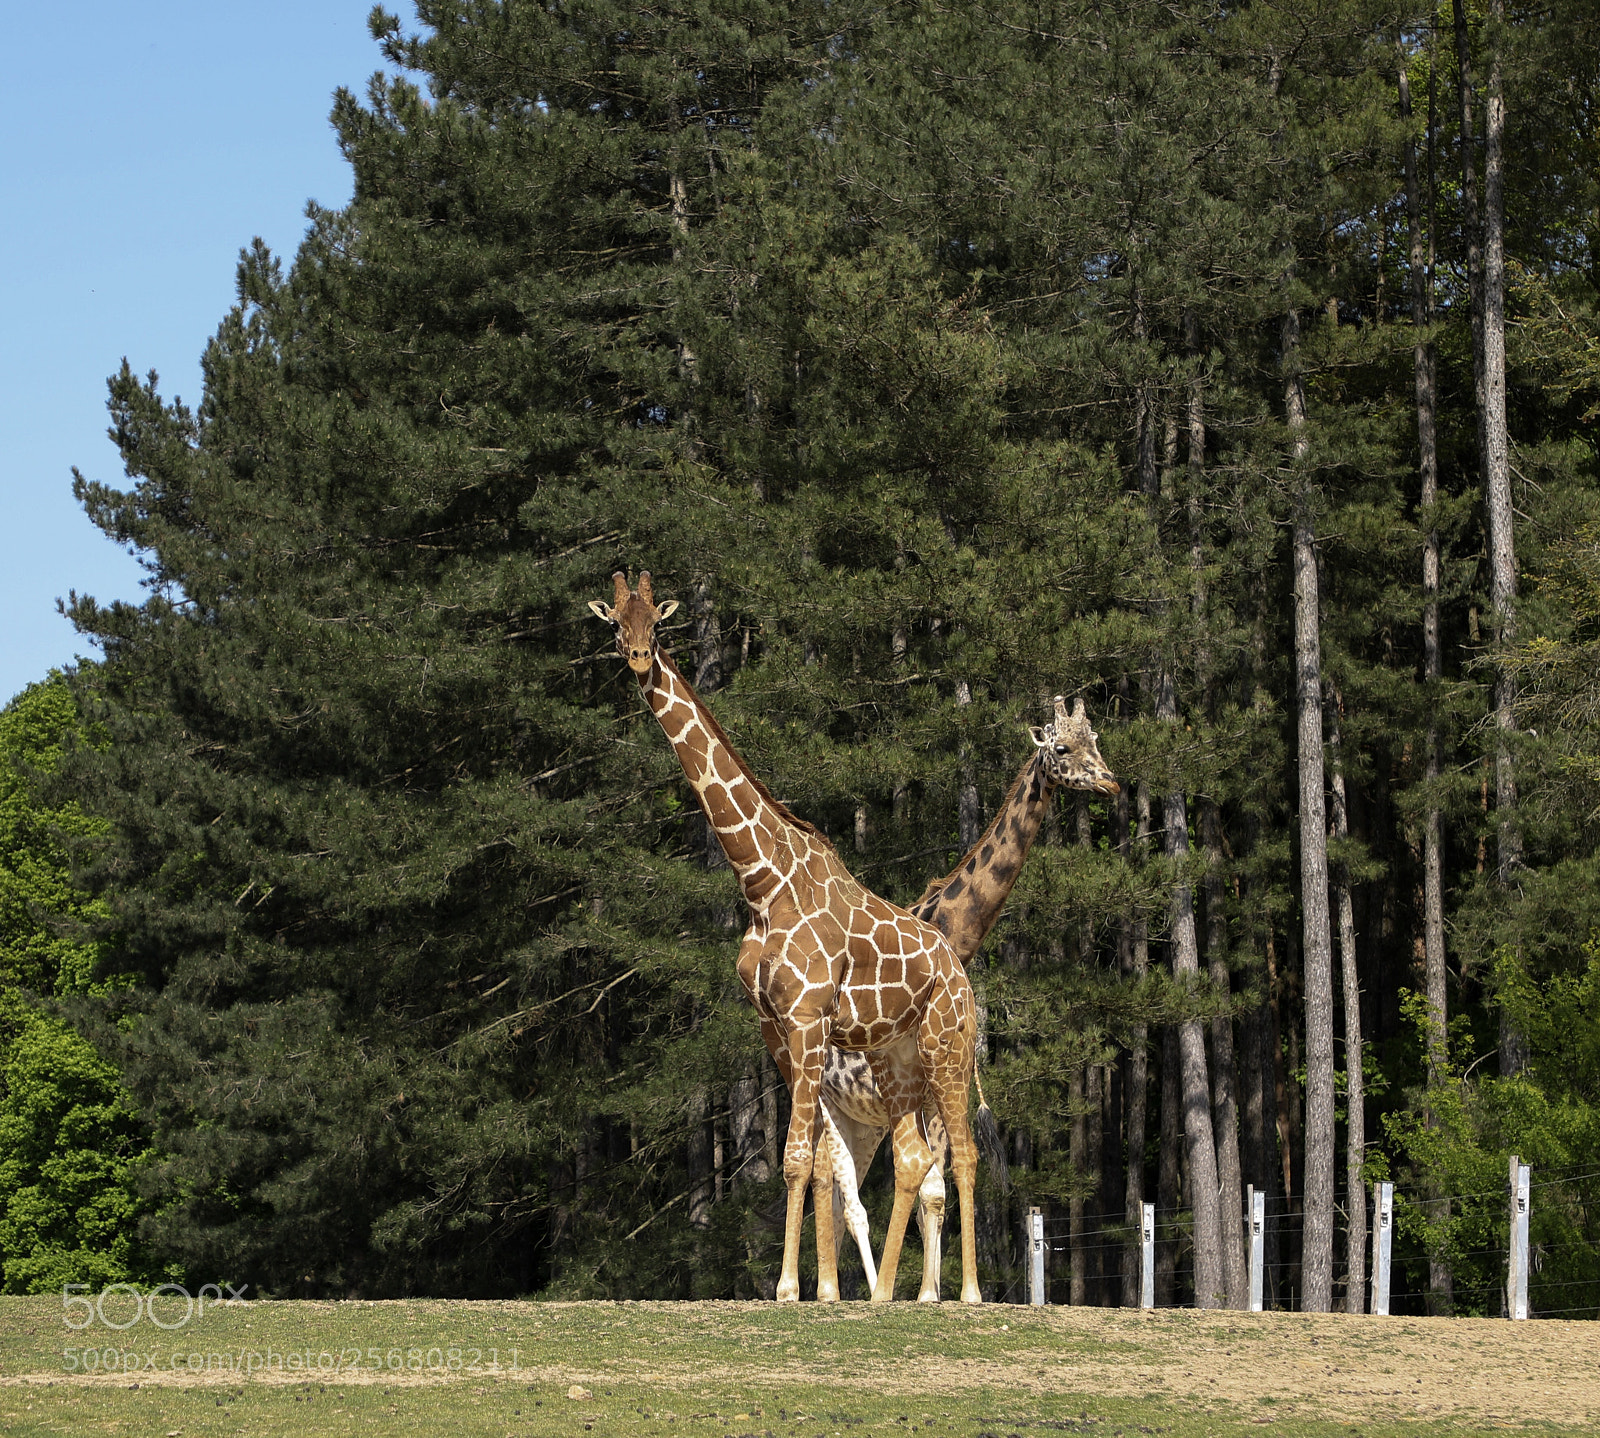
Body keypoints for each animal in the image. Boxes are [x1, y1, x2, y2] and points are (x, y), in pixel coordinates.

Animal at [589, 571, 985, 1303]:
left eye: (656, 622)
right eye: (615, 623)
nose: (637, 660)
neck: (761, 879)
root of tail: (963, 976)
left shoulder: (806, 1017)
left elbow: (801, 1157)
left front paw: (791, 1288)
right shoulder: (773, 1024)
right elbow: (802, 1160)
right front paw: (812, 1286)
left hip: (948, 1048)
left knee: (964, 1152)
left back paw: (965, 1292)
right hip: (895, 1061)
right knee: (913, 1155)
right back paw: (883, 1295)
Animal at [822, 694, 1119, 1299]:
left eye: (1096, 738)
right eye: (1060, 747)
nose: (1110, 783)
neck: (953, 938)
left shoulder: (937, 1093)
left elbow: (936, 1188)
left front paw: (936, 1294)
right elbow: (928, 1188)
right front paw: (926, 1293)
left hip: (863, 1117)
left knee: (843, 1191)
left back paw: (832, 1288)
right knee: (821, 1177)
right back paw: (811, 1289)